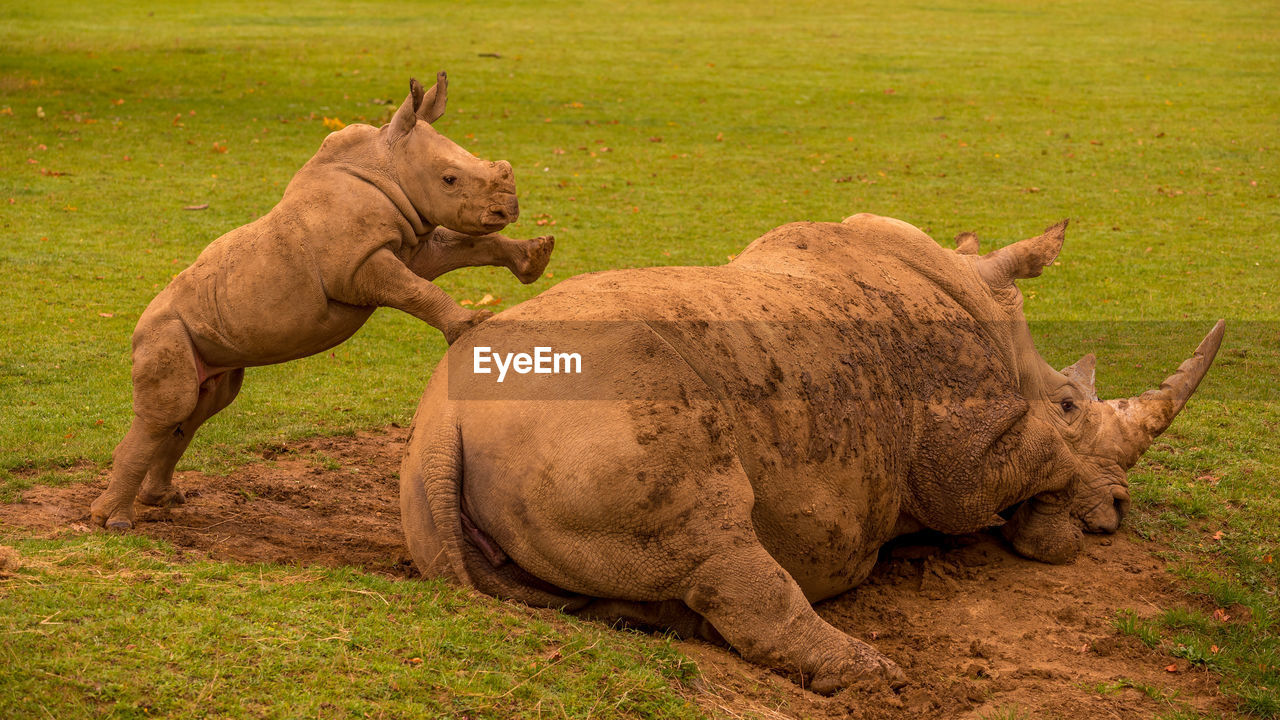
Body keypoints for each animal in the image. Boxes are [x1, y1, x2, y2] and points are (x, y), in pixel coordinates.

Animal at [90, 75, 550, 530]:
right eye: (450, 179)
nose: (509, 209)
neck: (387, 163)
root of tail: (137, 326)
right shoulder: (360, 265)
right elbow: (419, 290)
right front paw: (471, 325)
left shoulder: (412, 245)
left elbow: (468, 245)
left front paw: (536, 256)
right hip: (164, 328)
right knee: (171, 409)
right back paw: (114, 522)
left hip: (205, 336)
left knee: (200, 408)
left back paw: (162, 500)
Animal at [399, 211, 1218, 691]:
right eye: (1073, 405)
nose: (1118, 508)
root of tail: (441, 425)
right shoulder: (955, 458)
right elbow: (1030, 457)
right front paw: (1059, 532)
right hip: (606, 403)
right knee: (715, 538)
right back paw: (872, 676)